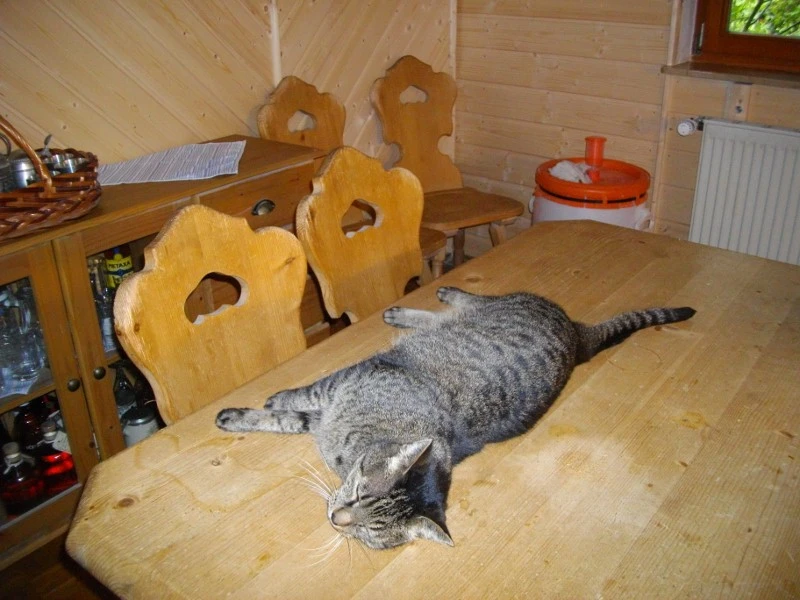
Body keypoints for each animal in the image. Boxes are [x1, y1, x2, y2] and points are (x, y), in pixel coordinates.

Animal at [216, 286, 695, 549]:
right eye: (358, 493)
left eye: (370, 530)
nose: (337, 519)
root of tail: (579, 337)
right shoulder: (344, 383)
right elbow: (301, 397)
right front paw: (265, 404)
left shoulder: (329, 412)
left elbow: (291, 417)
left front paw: (253, 413)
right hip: (500, 305)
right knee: (470, 302)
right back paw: (430, 300)